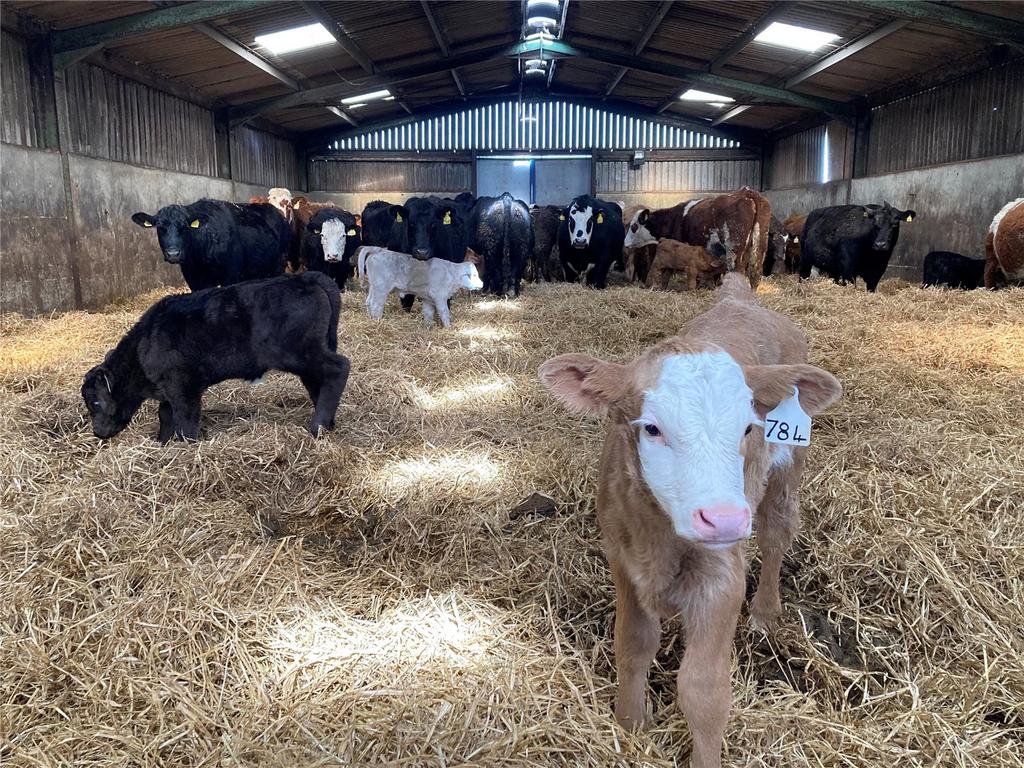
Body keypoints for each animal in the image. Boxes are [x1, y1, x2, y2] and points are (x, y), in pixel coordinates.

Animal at [80, 272, 352, 444]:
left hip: (302, 353)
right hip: (307, 358)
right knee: (318, 383)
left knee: (339, 368)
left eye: (96, 402)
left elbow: (185, 423)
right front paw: (162, 445)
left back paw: (317, 427)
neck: (143, 346)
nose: (97, 432)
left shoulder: (184, 387)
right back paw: (327, 423)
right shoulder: (168, 391)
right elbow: (165, 418)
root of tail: (305, 277)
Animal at [132, 198, 290, 290]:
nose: (173, 254)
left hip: (279, 265)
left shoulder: (231, 275)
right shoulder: (194, 279)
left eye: (184, 227)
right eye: (160, 228)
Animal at [618, 188, 770, 290]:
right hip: (759, 247)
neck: (674, 218)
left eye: (634, 226)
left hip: (734, 251)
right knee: (755, 272)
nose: (624, 242)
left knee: (738, 271)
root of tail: (746, 192)